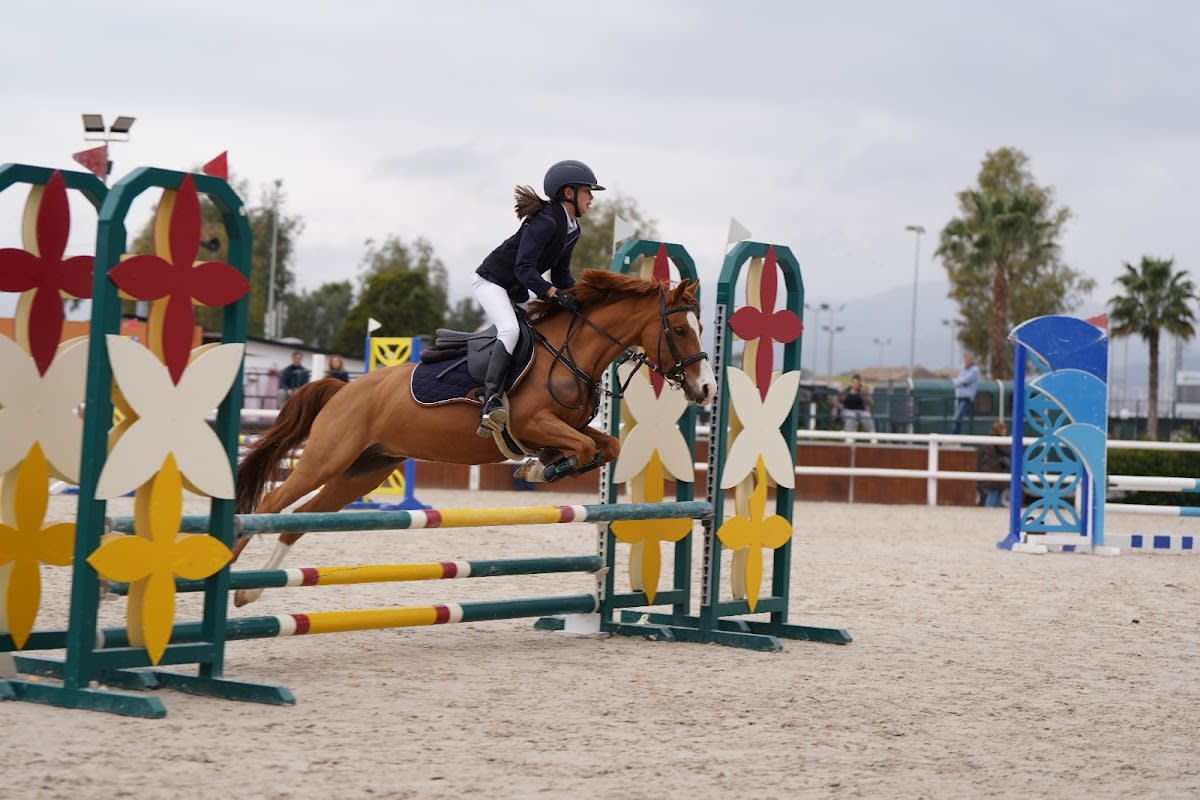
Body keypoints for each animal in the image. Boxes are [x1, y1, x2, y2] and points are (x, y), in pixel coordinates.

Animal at [230, 269, 716, 606]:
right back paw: (226, 571)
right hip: (328, 457)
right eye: (678, 330)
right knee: (270, 505)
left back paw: (249, 592)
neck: (571, 352)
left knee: (299, 519)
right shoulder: (532, 424)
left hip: (364, 470)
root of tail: (344, 387)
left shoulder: (571, 427)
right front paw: (540, 469)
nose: (708, 389)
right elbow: (579, 448)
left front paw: (542, 466)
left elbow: (604, 446)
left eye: (702, 328)